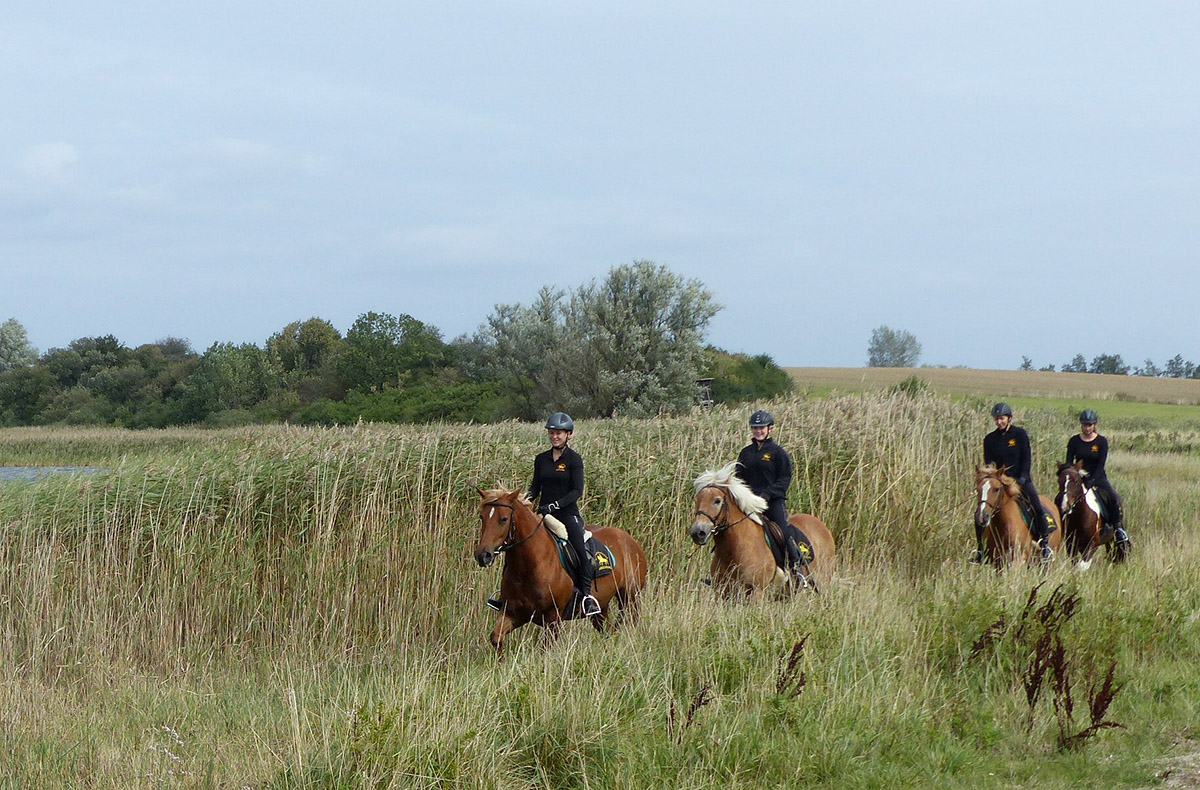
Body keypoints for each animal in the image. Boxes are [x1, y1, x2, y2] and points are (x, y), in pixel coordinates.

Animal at [473, 487, 648, 656]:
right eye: (482, 517)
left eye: (503, 519)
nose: (483, 555)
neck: (529, 567)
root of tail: (630, 540)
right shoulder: (512, 613)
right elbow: (496, 637)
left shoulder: (553, 619)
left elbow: (545, 651)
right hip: (601, 608)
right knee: (607, 631)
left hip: (630, 598)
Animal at [688, 462, 835, 597]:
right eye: (697, 499)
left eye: (717, 500)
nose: (697, 533)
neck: (734, 549)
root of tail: (822, 526)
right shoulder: (724, 593)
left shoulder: (757, 592)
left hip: (822, 582)